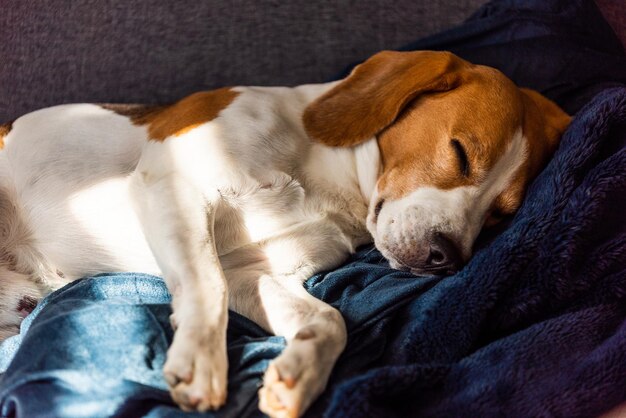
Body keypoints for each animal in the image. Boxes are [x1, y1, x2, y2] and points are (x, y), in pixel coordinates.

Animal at [0, 52, 564, 418]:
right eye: (460, 152)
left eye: (501, 215)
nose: (446, 256)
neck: (330, 180)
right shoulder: (174, 181)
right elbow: (206, 284)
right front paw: (200, 359)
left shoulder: (255, 273)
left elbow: (330, 321)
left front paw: (299, 376)